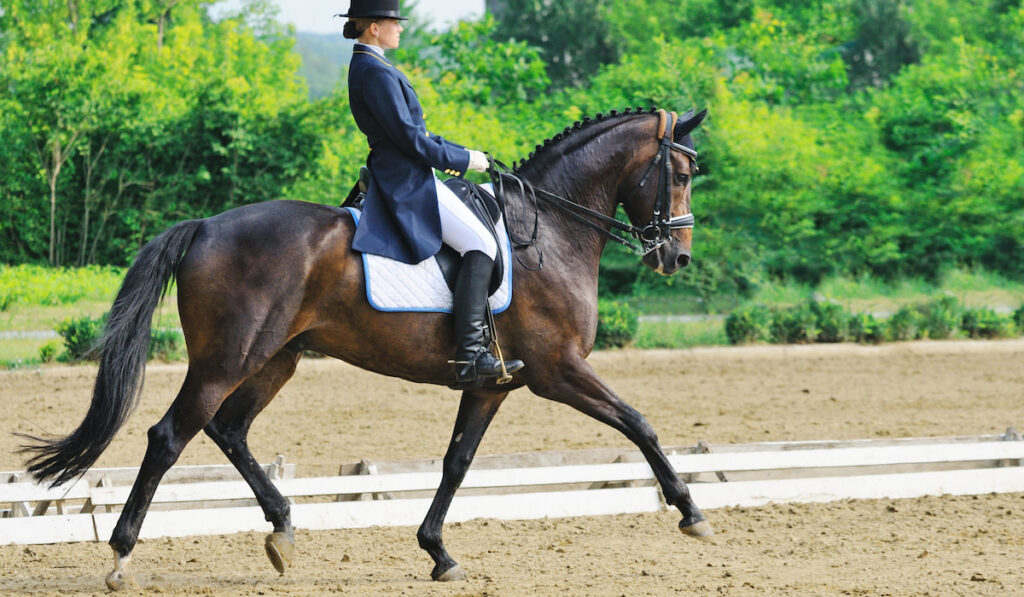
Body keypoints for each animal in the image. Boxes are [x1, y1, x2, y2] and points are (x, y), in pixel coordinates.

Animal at [24, 106, 712, 589]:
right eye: (680, 174)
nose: (675, 257)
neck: (550, 233)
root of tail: (206, 226)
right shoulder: (557, 370)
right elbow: (640, 424)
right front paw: (691, 513)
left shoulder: (493, 381)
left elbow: (457, 461)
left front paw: (438, 552)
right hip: (227, 359)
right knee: (170, 436)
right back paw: (121, 558)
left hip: (276, 358)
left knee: (229, 428)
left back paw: (283, 530)